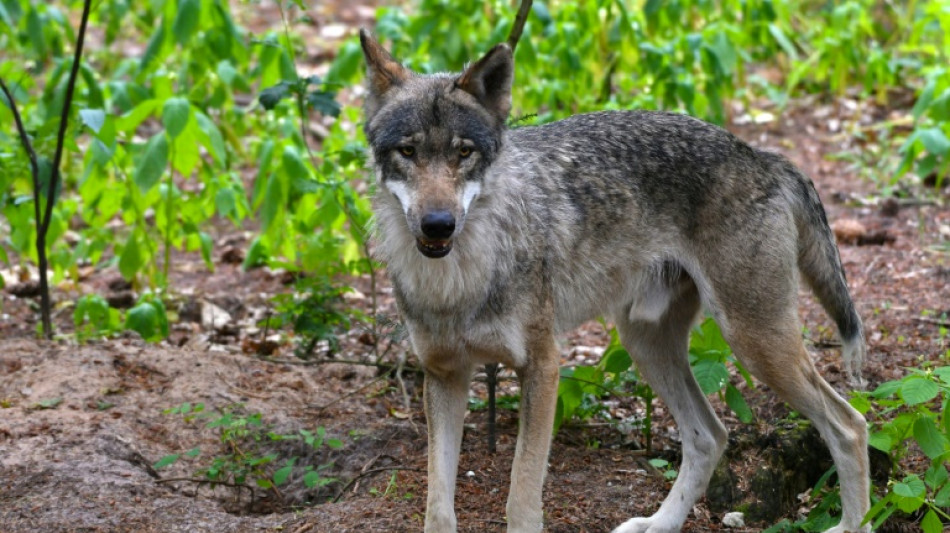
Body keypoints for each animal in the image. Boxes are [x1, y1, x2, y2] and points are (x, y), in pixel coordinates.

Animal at [359, 29, 870, 533]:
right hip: (646, 342)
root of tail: (764, 157)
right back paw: (658, 524)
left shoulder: (543, 367)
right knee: (710, 436)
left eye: (463, 152)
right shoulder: (445, 376)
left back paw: (850, 523)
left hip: (754, 343)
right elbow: (438, 507)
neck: (459, 279)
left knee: (849, 425)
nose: (438, 225)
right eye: (408, 151)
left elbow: (521, 500)